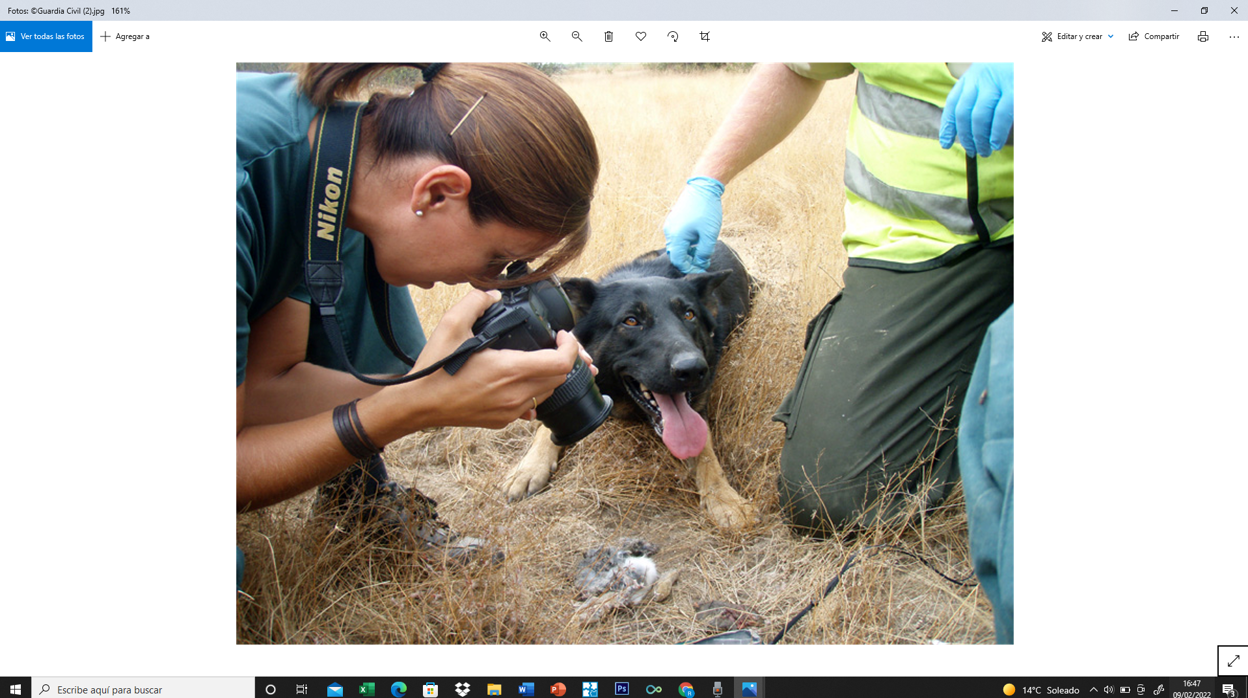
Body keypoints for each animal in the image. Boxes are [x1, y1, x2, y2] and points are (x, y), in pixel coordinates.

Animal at [501, 244, 753, 529]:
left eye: (689, 315)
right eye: (631, 321)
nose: (692, 369)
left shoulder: (698, 407)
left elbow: (706, 451)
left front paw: (725, 498)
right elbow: (551, 421)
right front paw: (529, 467)